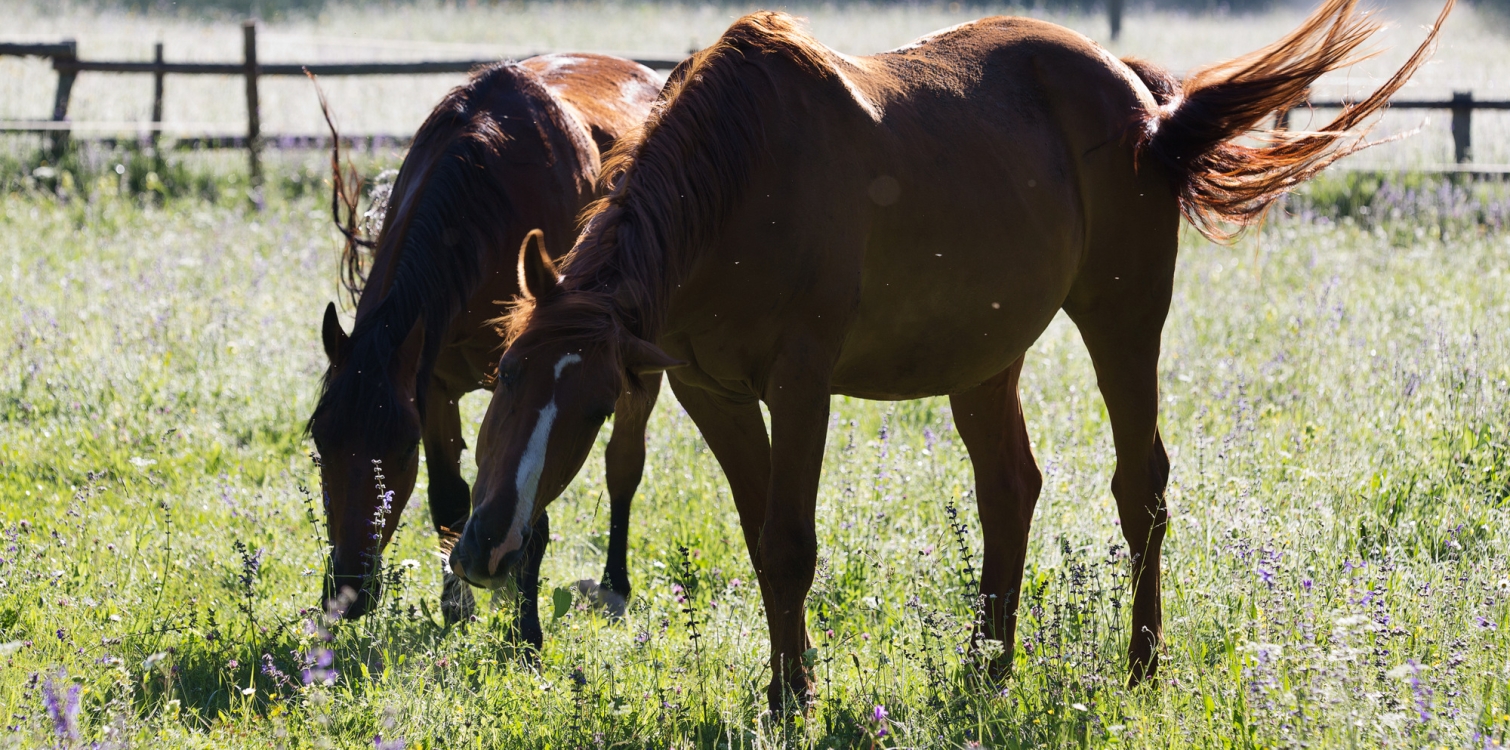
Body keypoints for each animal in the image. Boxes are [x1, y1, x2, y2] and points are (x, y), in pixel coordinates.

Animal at [306, 53, 661, 636]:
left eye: (400, 448)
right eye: (320, 444)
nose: (348, 592)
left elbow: (533, 512)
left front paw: (526, 631)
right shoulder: (432, 383)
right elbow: (450, 498)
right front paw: (458, 607)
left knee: (623, 465)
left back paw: (614, 586)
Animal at [449, 0, 1449, 703]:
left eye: (590, 405)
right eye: (503, 378)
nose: (483, 548)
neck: (737, 182)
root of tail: (1139, 99)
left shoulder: (801, 384)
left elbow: (789, 542)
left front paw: (790, 702)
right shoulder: (710, 391)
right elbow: (760, 538)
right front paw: (789, 681)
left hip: (1124, 319)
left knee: (1141, 488)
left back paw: (1139, 668)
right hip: (985, 356)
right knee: (1010, 488)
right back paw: (989, 665)